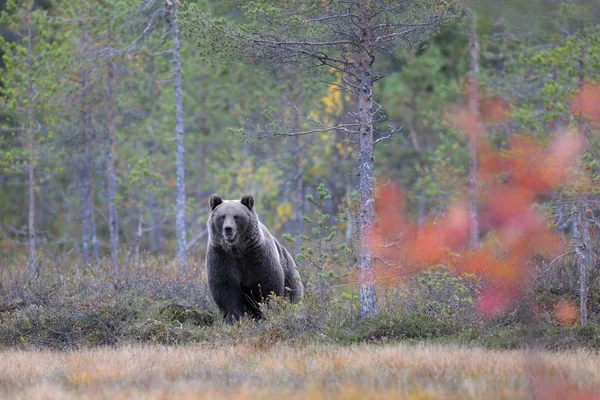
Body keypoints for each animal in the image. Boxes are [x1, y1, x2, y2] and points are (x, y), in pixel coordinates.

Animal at [206, 194, 304, 322]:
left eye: (236, 216)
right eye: (222, 216)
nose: (228, 229)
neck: (237, 250)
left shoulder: (257, 255)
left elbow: (268, 284)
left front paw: (269, 312)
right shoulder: (222, 256)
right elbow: (225, 287)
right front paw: (234, 319)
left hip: (291, 278)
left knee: (292, 296)